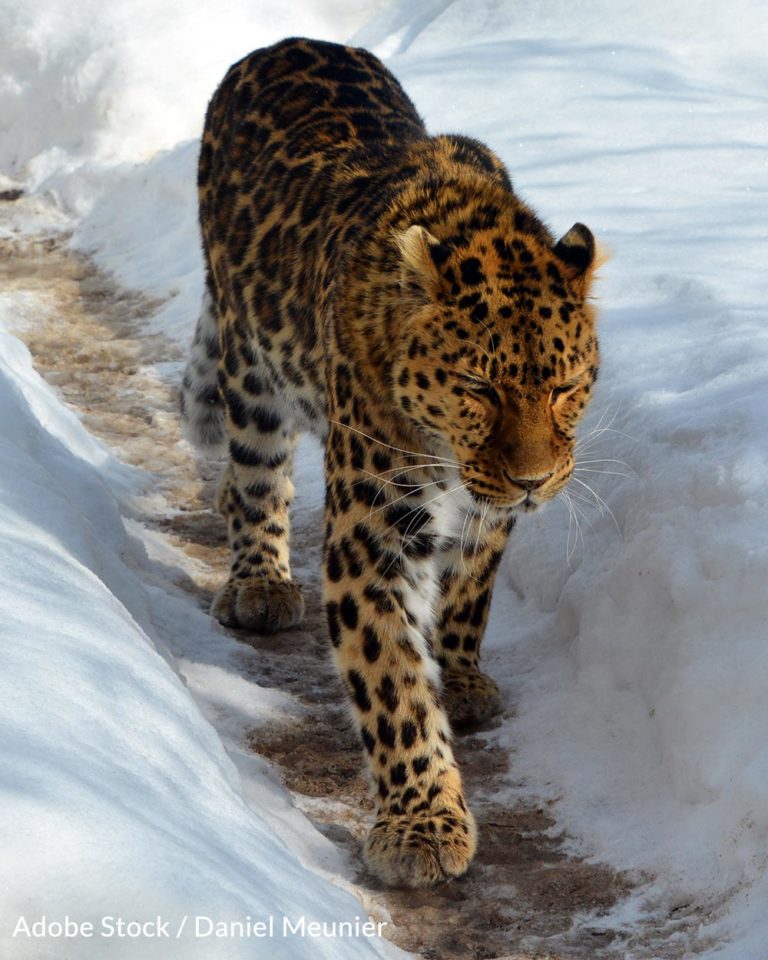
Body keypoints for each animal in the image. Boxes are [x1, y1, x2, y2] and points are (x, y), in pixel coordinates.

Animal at [181, 37, 601, 889]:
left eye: (566, 387)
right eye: (479, 387)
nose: (534, 481)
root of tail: (286, 43)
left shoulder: (483, 509)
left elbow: (471, 587)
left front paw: (460, 673)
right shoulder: (373, 528)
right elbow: (391, 680)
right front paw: (423, 824)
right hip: (250, 365)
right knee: (257, 469)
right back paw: (259, 579)